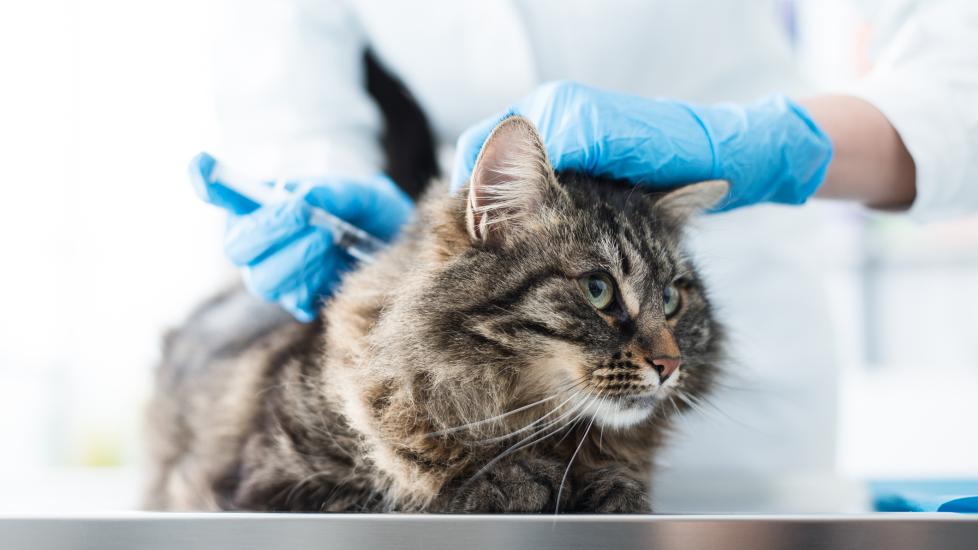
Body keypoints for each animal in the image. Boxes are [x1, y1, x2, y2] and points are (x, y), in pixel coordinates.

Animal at [145, 117, 724, 516]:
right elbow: (418, 495)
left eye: (671, 300)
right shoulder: (271, 485)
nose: (670, 365)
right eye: (598, 290)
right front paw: (513, 481)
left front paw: (605, 486)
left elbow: (621, 486)